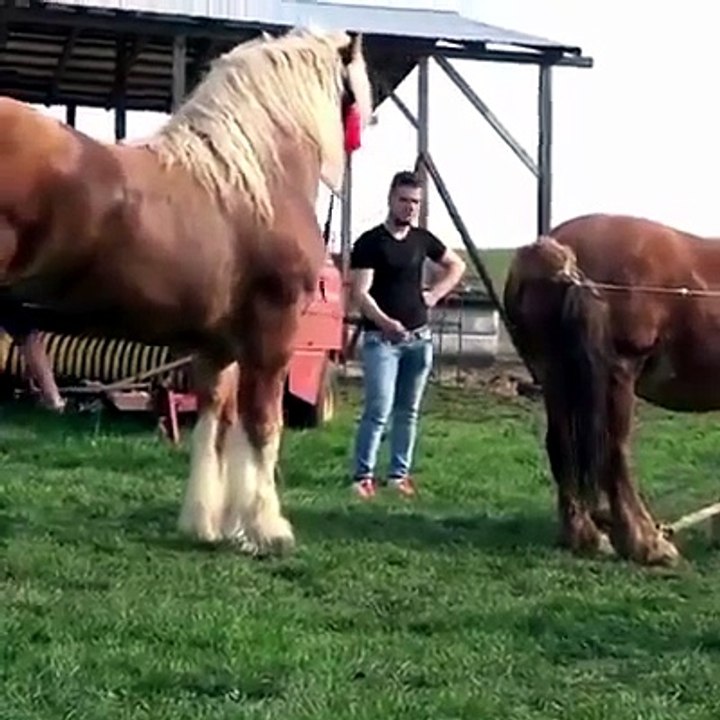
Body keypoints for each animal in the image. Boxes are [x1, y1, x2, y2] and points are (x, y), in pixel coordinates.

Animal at [0, 27, 374, 556]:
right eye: (355, 86)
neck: (259, 178)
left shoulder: (220, 347)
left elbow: (216, 424)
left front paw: (215, 525)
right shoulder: (272, 336)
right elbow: (263, 424)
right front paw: (268, 530)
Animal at [503, 212, 720, 567]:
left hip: (557, 376)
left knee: (561, 445)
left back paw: (582, 536)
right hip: (616, 375)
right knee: (614, 454)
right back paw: (645, 544)